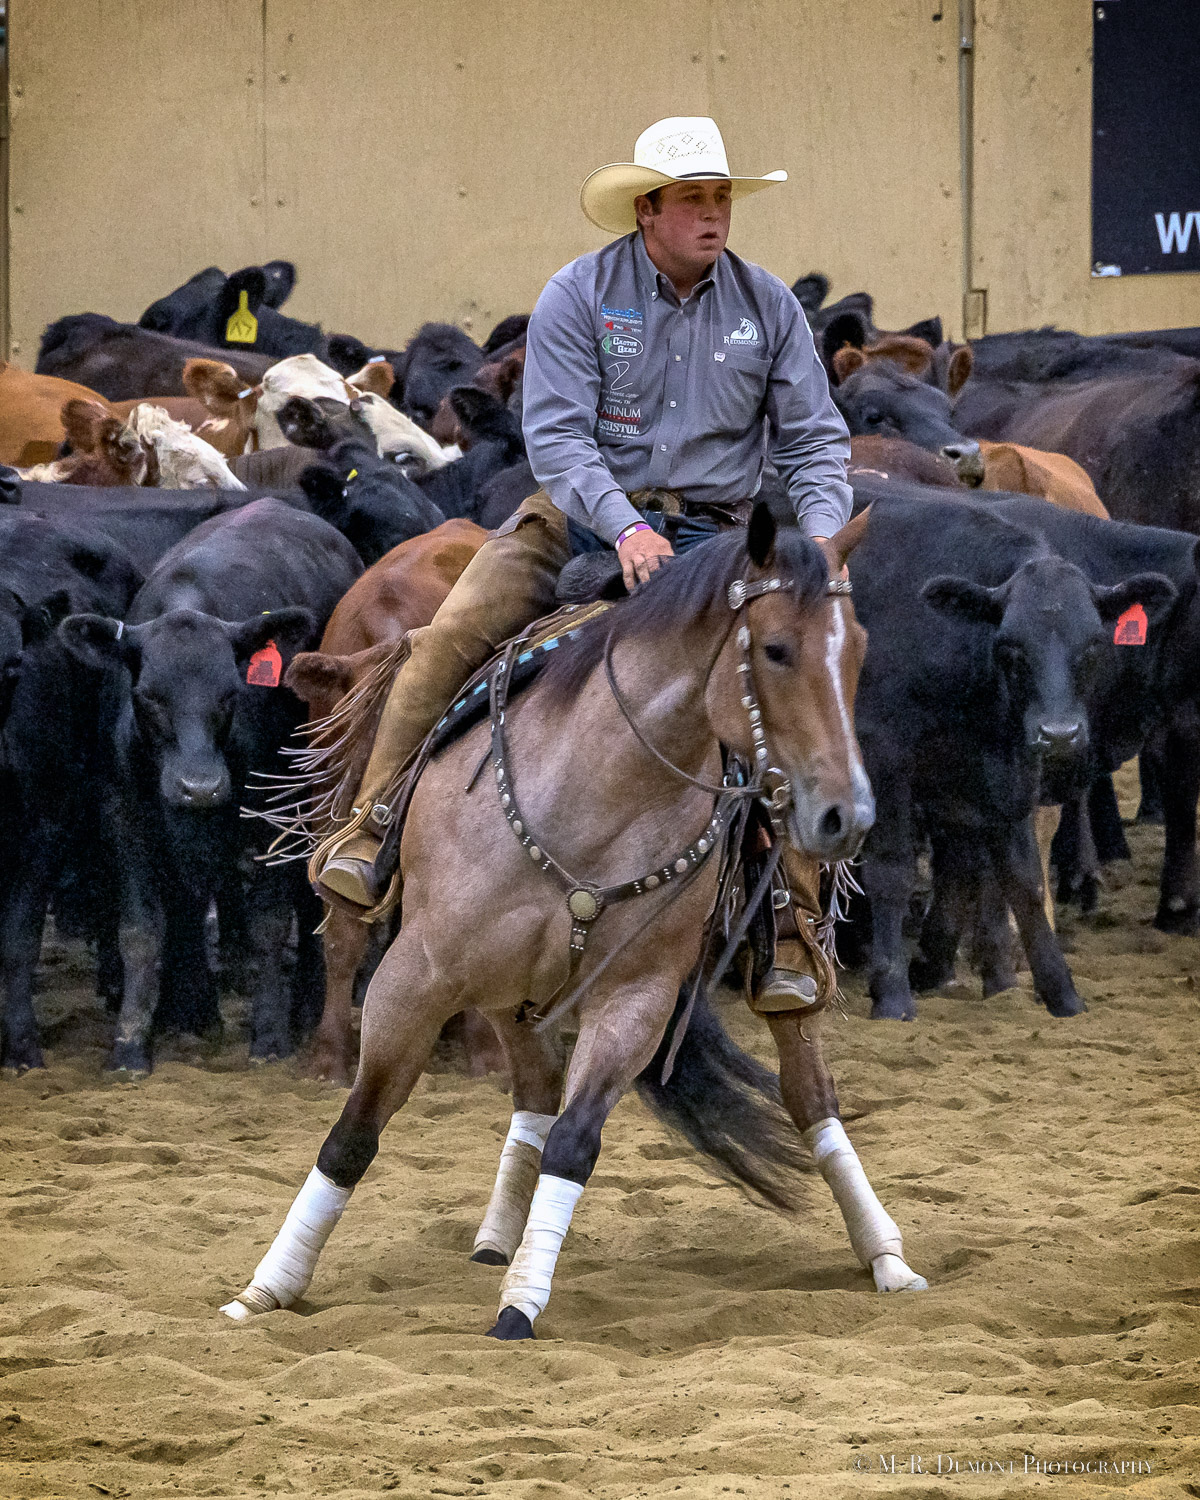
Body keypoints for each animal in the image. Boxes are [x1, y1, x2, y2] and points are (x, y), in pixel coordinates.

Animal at [57, 498, 363, 1072]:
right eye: (148, 696)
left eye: (230, 693)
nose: (198, 787)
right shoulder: (126, 814)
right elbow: (141, 929)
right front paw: (131, 1045)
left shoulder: (273, 815)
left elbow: (269, 924)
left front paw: (270, 1035)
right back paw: (196, 1013)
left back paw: (307, 1008)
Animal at [220, 504, 927, 1341]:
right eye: (777, 649)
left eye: (857, 651)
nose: (846, 815)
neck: (596, 794)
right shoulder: (416, 976)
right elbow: (354, 1132)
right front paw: (267, 1288)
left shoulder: (636, 998)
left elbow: (575, 1140)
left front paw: (522, 1301)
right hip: (513, 986)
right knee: (531, 1089)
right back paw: (496, 1233)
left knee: (808, 1094)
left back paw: (885, 1254)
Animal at [845, 481, 1176, 1021]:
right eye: (1011, 648)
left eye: (1092, 645)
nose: (1060, 734)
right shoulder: (883, 756)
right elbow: (890, 869)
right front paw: (892, 994)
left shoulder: (1008, 767)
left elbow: (1022, 877)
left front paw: (1062, 994)